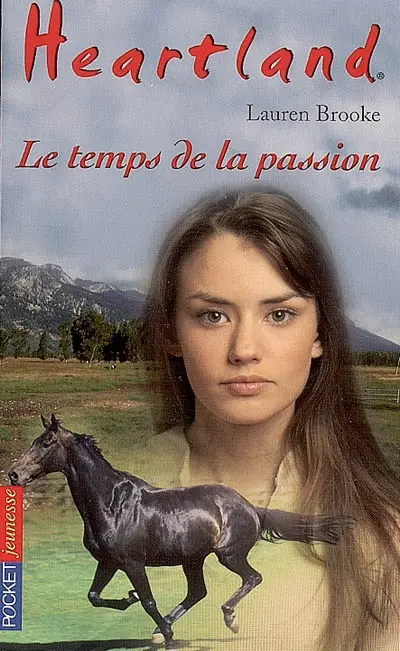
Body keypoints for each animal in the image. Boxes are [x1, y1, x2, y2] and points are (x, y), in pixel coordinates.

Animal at [9, 415, 352, 644]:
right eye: (35, 441)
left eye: (46, 443)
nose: (13, 474)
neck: (111, 502)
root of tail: (251, 508)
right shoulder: (108, 562)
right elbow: (94, 596)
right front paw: (130, 601)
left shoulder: (132, 562)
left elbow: (148, 601)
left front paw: (165, 629)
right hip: (192, 559)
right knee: (197, 591)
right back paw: (163, 630)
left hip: (228, 554)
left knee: (252, 578)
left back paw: (228, 619)